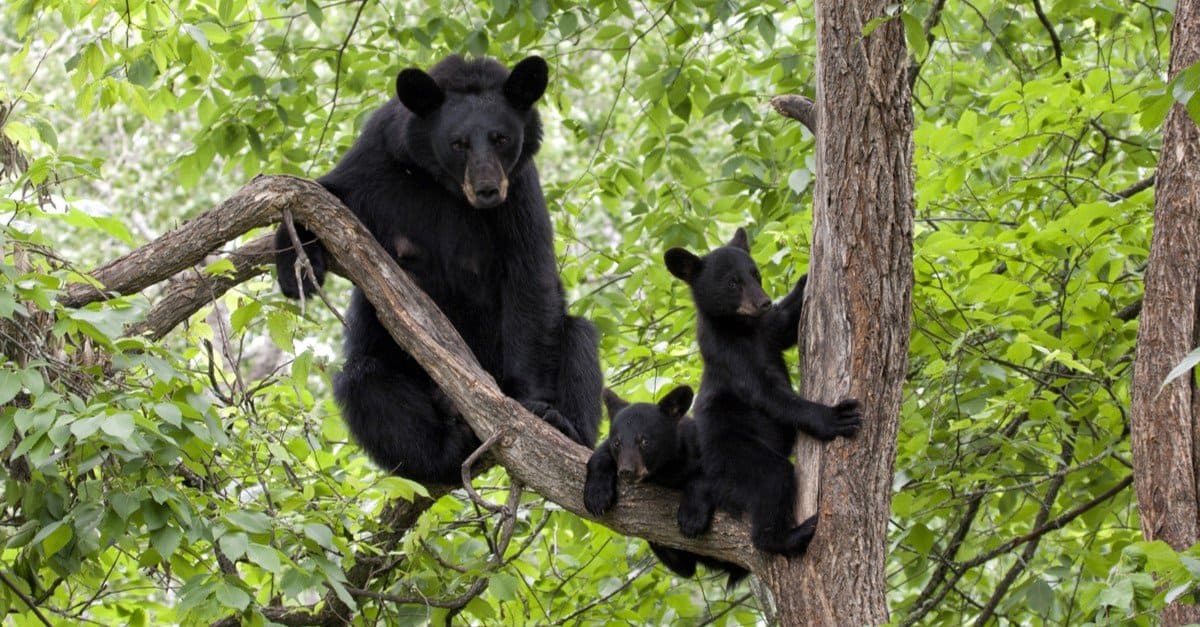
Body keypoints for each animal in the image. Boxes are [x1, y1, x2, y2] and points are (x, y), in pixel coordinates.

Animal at [274, 55, 603, 485]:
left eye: (501, 138)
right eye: (458, 143)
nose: (487, 190)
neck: (446, 187)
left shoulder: (520, 191)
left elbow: (531, 279)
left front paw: (537, 408)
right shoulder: (378, 158)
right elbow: (325, 194)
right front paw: (294, 265)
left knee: (578, 338)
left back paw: (568, 427)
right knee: (365, 383)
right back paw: (445, 450)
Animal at [583, 386, 748, 587]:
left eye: (644, 441)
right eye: (617, 442)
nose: (627, 471)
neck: (664, 469)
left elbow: (706, 477)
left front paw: (691, 518)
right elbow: (600, 455)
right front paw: (597, 496)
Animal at [663, 227, 861, 556]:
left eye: (754, 273)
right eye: (733, 282)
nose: (764, 302)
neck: (742, 328)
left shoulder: (767, 331)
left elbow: (786, 325)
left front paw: (805, 279)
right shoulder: (729, 356)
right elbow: (768, 394)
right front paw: (833, 417)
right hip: (733, 452)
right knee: (772, 478)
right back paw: (788, 536)